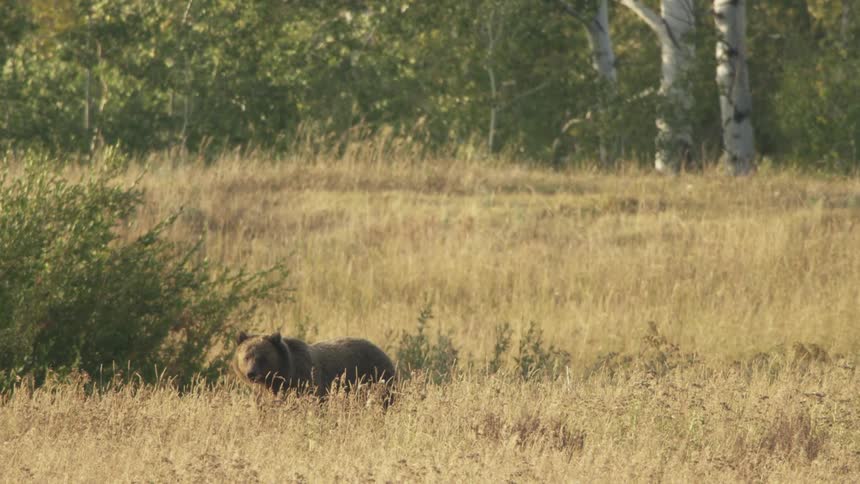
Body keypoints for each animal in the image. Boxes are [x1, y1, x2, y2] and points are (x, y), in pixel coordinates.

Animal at [233, 331, 396, 405]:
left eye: (262, 358)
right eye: (246, 357)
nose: (251, 373)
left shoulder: (305, 382)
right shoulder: (264, 393)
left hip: (376, 377)